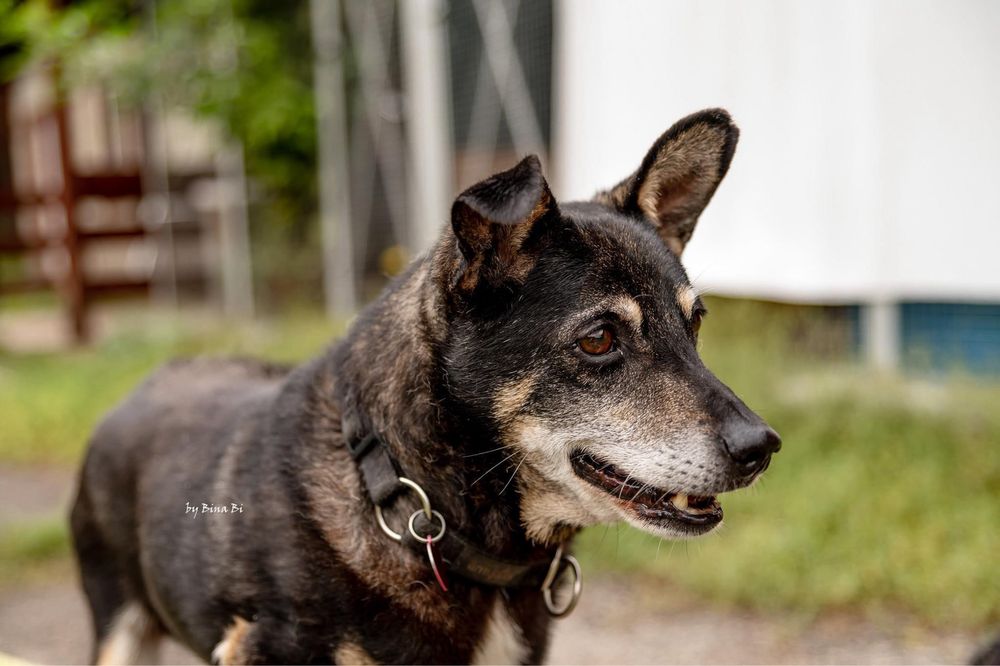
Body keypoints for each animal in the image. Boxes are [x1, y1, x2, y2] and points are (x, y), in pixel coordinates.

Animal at [72, 106, 780, 660]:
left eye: (695, 324)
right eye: (600, 339)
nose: (762, 448)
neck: (408, 500)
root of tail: (147, 380)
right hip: (116, 627)